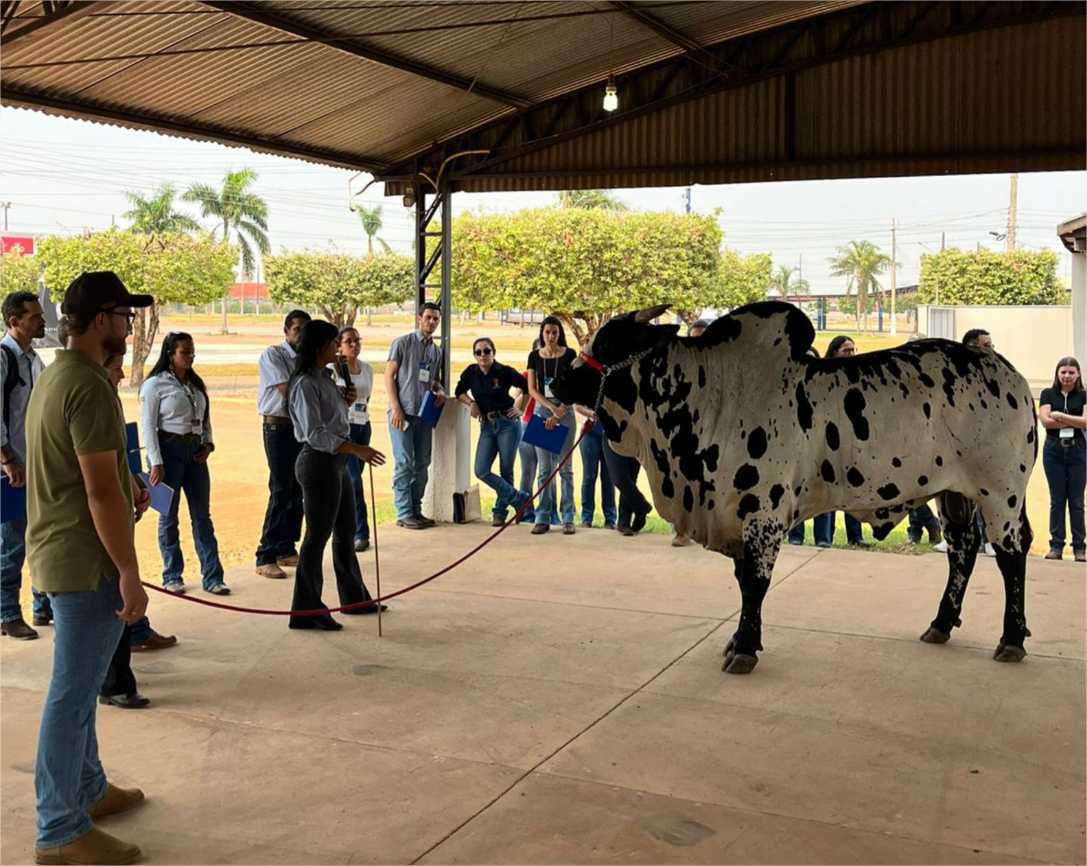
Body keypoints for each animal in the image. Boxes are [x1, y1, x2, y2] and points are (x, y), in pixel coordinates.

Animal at [551, 301, 1036, 675]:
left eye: (609, 343)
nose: (557, 380)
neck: (710, 395)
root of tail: (1010, 374)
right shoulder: (736, 515)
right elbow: (742, 580)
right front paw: (738, 641)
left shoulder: (761, 515)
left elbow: (754, 583)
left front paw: (744, 649)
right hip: (954, 495)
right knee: (963, 549)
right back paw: (941, 624)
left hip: (1001, 495)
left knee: (1011, 555)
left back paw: (1011, 639)